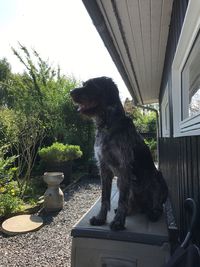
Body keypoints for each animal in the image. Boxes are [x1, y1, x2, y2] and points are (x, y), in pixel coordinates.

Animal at [70, 76, 167, 231]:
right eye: (84, 84)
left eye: (91, 86)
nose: (71, 92)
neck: (107, 124)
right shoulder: (103, 167)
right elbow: (105, 198)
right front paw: (100, 218)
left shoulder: (124, 167)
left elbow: (121, 200)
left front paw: (118, 222)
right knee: (132, 204)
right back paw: (130, 210)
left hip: (158, 178)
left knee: (158, 206)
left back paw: (153, 212)